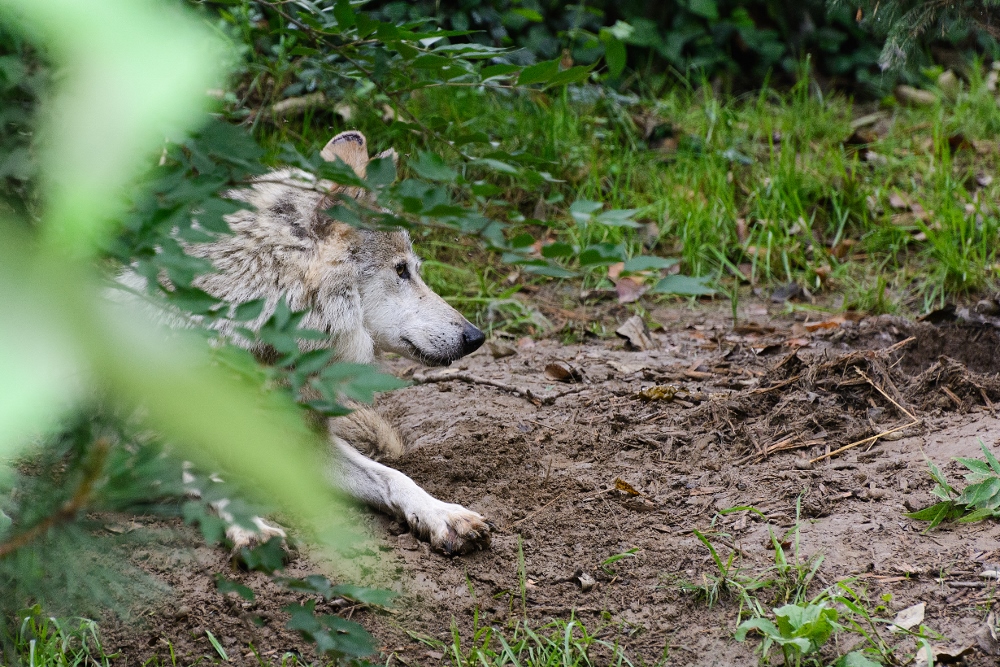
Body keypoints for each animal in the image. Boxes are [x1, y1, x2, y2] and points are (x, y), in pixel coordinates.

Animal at [123, 133, 490, 556]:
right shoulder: (138, 443)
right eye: (401, 270)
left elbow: (393, 476)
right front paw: (253, 529)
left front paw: (443, 515)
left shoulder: (303, 441)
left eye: (412, 269)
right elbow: (209, 478)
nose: (476, 337)